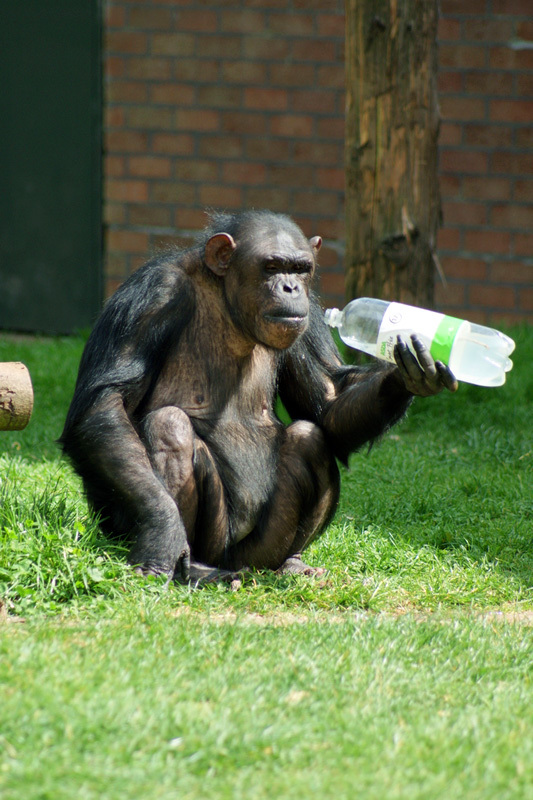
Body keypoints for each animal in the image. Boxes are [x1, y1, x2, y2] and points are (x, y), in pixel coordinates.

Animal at [59, 211, 458, 580]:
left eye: (300, 268)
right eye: (271, 266)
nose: (290, 288)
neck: (226, 300)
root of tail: (237, 565)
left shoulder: (310, 317)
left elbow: (328, 404)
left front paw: (407, 373)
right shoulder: (151, 297)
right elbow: (107, 403)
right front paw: (162, 531)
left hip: (259, 549)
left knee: (309, 438)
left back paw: (291, 565)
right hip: (206, 540)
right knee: (168, 426)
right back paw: (195, 570)